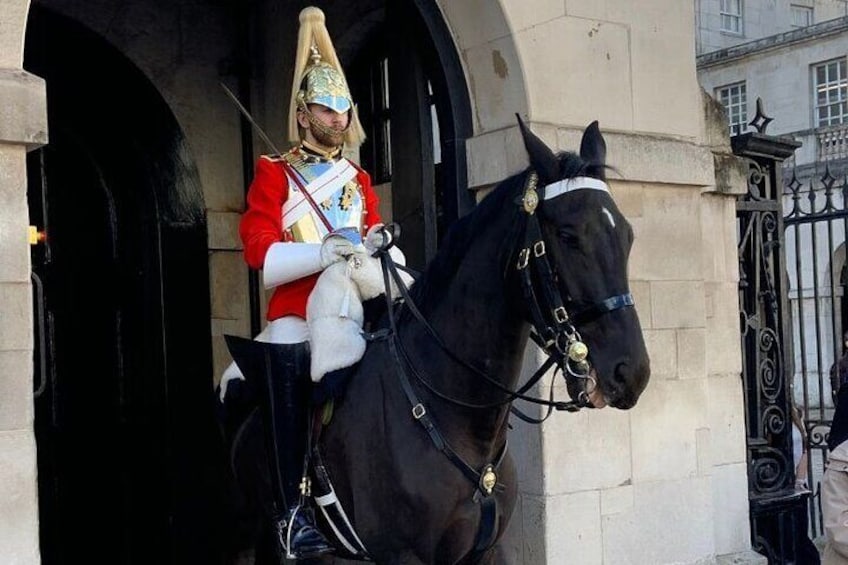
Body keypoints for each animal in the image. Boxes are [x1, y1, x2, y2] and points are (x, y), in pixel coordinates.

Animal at [219, 119, 648, 564]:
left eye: (627, 235)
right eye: (567, 235)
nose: (631, 372)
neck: (456, 415)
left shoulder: (486, 551)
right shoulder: (402, 555)